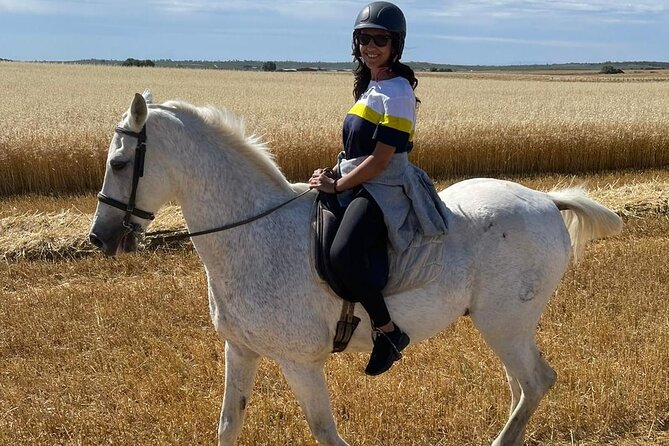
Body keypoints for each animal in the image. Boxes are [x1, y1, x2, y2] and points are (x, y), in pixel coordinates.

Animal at [89, 91, 623, 446]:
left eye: (120, 163)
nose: (99, 238)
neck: (254, 234)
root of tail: (546, 201)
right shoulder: (240, 350)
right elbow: (228, 425)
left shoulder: (300, 364)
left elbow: (325, 432)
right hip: (503, 327)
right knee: (523, 388)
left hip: (505, 324)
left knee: (535, 383)